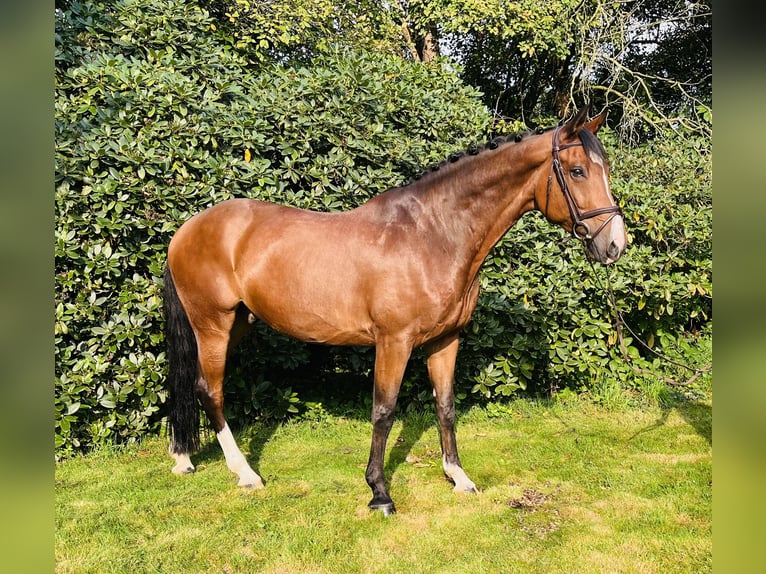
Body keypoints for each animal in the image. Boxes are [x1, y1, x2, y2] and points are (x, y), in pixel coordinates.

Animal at [163, 107, 626, 515]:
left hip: (236, 324)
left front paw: (458, 477)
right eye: (578, 171)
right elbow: (383, 413)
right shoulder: (394, 342)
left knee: (193, 383)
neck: (432, 235)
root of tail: (186, 230)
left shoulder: (445, 341)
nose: (615, 245)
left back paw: (184, 458)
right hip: (213, 324)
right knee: (210, 391)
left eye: (604, 169)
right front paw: (379, 493)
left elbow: (445, 406)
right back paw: (245, 473)